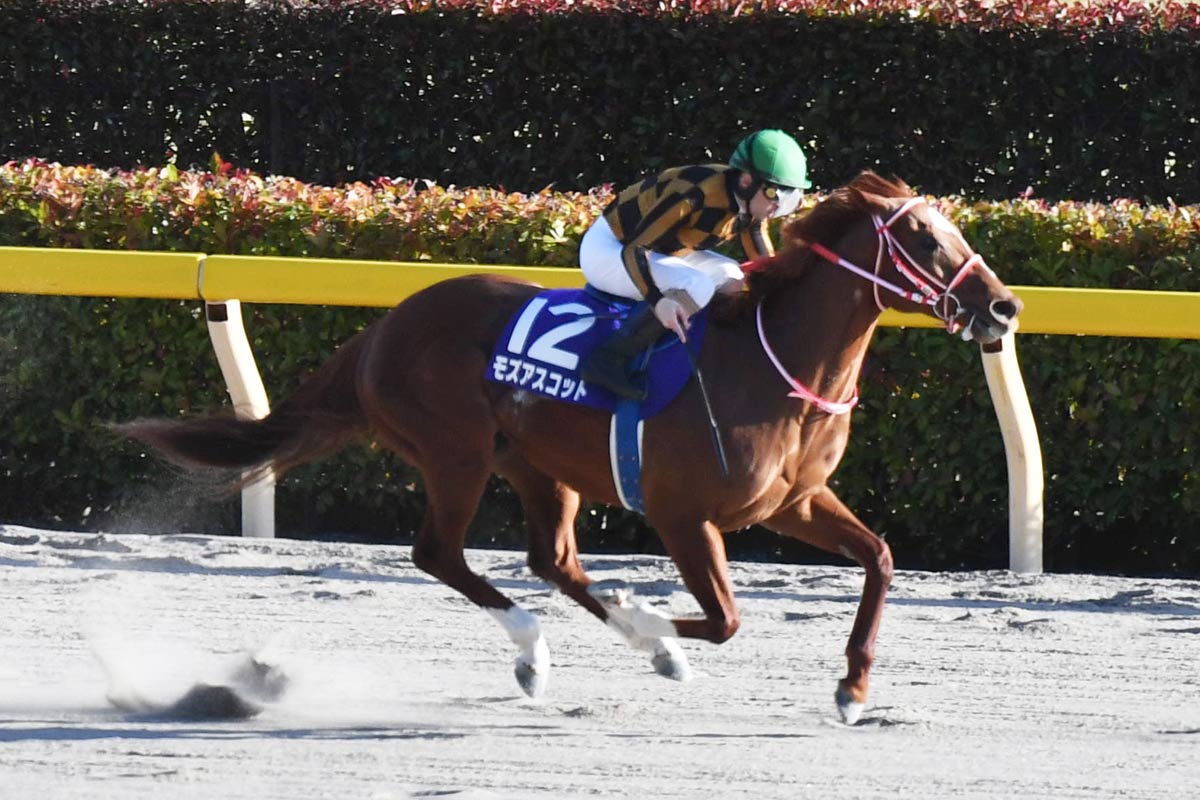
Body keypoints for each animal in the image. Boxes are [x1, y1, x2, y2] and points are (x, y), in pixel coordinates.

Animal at [117, 171, 1022, 724]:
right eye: (927, 240)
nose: (1005, 307)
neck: (779, 362)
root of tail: (387, 324)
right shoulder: (683, 513)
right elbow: (725, 619)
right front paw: (654, 626)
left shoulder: (792, 502)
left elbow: (880, 558)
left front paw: (853, 688)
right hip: (455, 454)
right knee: (439, 554)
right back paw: (549, 645)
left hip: (537, 465)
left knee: (550, 559)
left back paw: (582, 648)